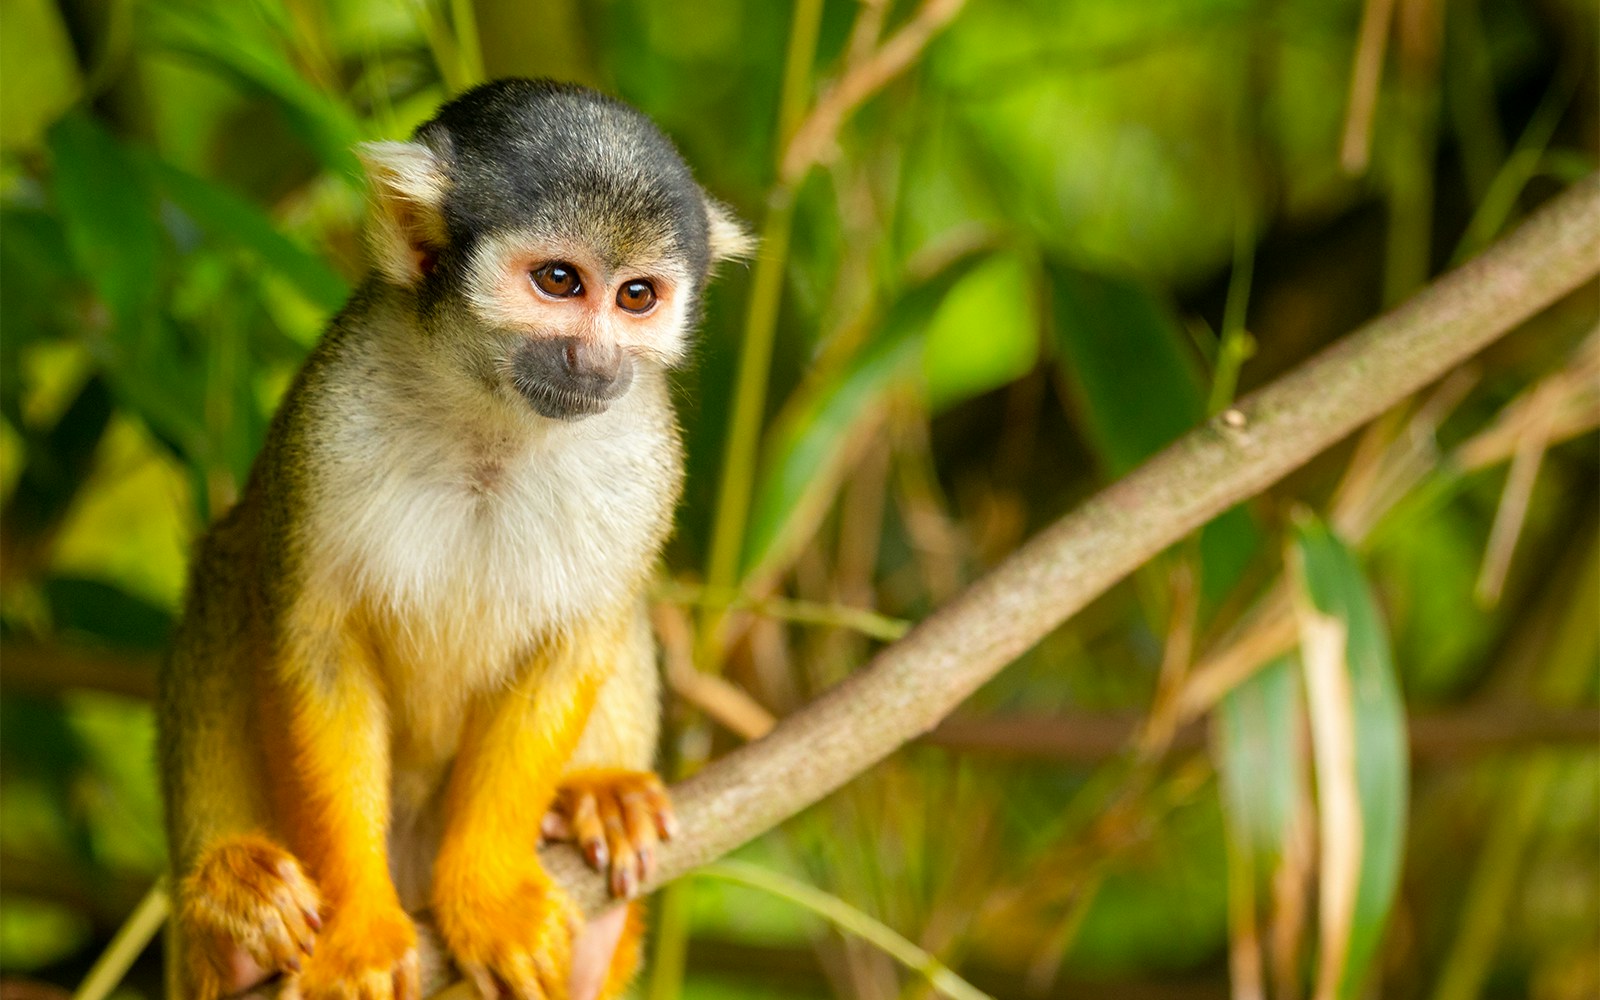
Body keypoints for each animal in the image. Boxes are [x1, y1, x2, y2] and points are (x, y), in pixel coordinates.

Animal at [157, 78, 750, 1000]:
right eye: (559, 281)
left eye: (636, 297)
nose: (595, 361)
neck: (494, 418)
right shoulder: (332, 420)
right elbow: (313, 644)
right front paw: (358, 929)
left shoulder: (648, 454)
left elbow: (574, 645)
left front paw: (488, 893)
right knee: (232, 568)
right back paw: (232, 918)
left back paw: (598, 846)